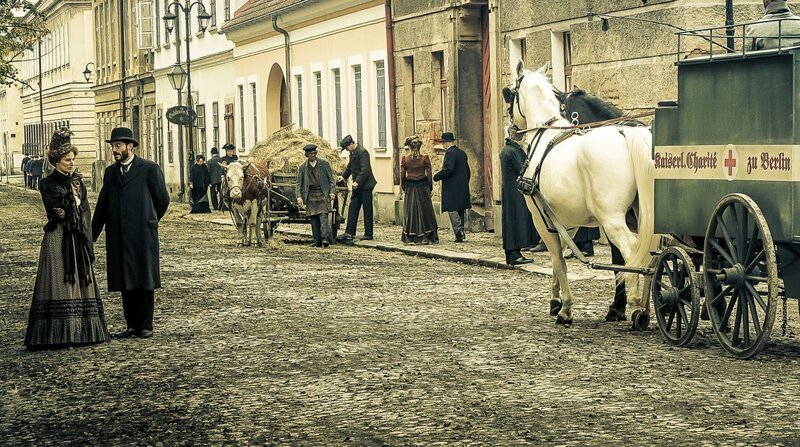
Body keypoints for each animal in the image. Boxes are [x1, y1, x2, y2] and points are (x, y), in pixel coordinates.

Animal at [510, 62, 660, 328]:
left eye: (509, 93)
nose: (511, 130)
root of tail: (626, 134)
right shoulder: (565, 221)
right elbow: (559, 259)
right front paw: (555, 299)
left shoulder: (541, 221)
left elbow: (559, 261)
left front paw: (566, 309)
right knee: (651, 253)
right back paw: (644, 308)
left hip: (612, 219)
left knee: (632, 250)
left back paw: (636, 306)